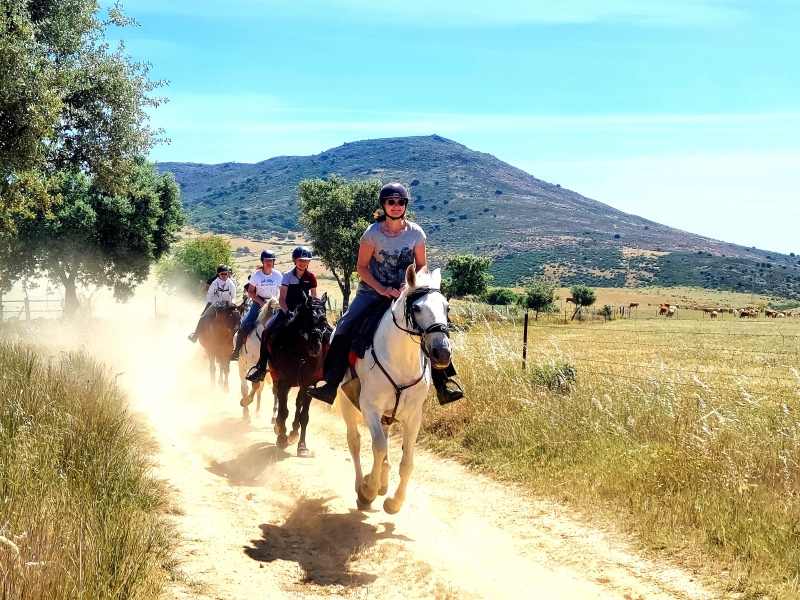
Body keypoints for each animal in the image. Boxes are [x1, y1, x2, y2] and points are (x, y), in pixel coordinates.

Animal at [268, 292, 330, 458]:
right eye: (307, 319)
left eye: (324, 320)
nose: (316, 346)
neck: (301, 354)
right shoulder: (283, 382)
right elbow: (283, 411)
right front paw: (281, 438)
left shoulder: (308, 385)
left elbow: (304, 415)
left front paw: (302, 446)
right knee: (279, 398)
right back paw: (280, 427)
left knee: (298, 404)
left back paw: (293, 433)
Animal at [336, 264, 450, 512]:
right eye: (416, 308)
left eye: (447, 307)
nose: (442, 352)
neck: (401, 361)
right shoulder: (369, 407)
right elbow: (378, 446)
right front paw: (368, 491)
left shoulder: (414, 416)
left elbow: (407, 461)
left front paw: (394, 501)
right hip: (346, 402)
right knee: (355, 441)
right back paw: (363, 485)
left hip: (388, 414)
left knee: (385, 442)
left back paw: (382, 482)